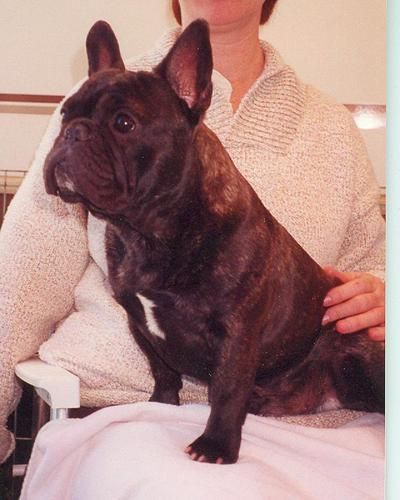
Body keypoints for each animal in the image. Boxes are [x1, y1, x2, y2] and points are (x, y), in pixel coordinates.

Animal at [44, 20, 384, 464]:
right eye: (64, 115)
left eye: (123, 123)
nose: (72, 134)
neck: (148, 231)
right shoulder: (139, 322)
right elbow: (162, 369)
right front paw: (161, 404)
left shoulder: (236, 332)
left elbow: (226, 391)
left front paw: (216, 445)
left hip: (359, 365)